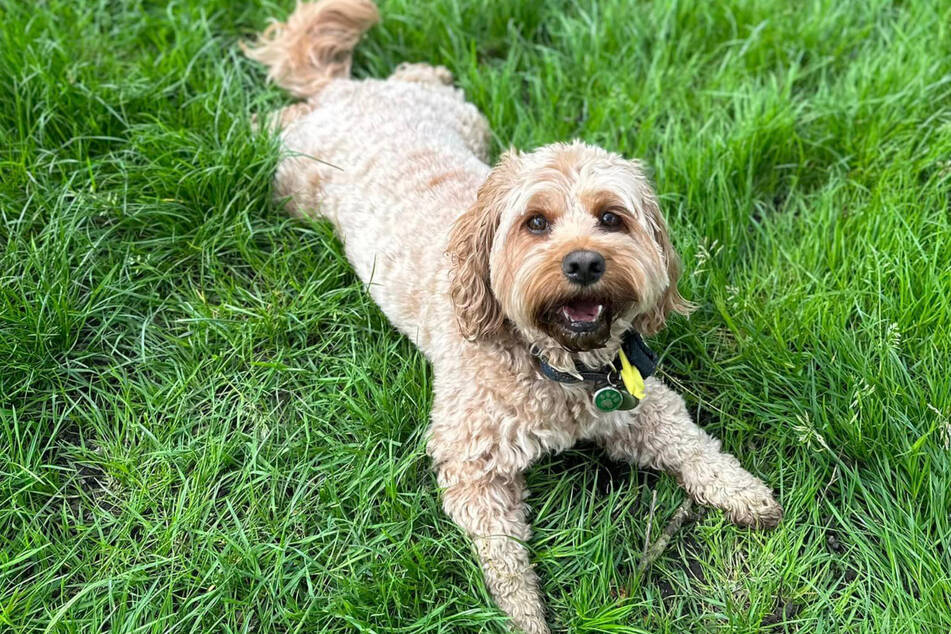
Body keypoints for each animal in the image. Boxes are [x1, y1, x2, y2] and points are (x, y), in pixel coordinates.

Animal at [244, 2, 780, 628]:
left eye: (611, 218)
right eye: (536, 223)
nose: (583, 262)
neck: (559, 366)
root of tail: (345, 91)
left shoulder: (639, 401)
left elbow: (693, 444)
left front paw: (744, 494)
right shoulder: (471, 459)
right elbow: (502, 555)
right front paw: (527, 617)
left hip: (460, 115)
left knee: (414, 74)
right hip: (293, 180)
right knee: (283, 115)